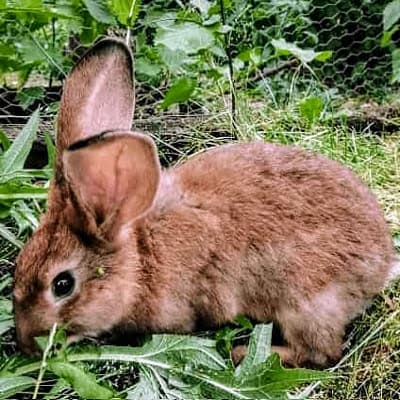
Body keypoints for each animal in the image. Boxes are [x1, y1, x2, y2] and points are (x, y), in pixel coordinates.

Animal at [13, 37, 400, 366]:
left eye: (62, 285)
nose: (25, 343)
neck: (139, 259)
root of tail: (381, 265)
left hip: (305, 302)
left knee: (321, 352)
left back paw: (245, 352)